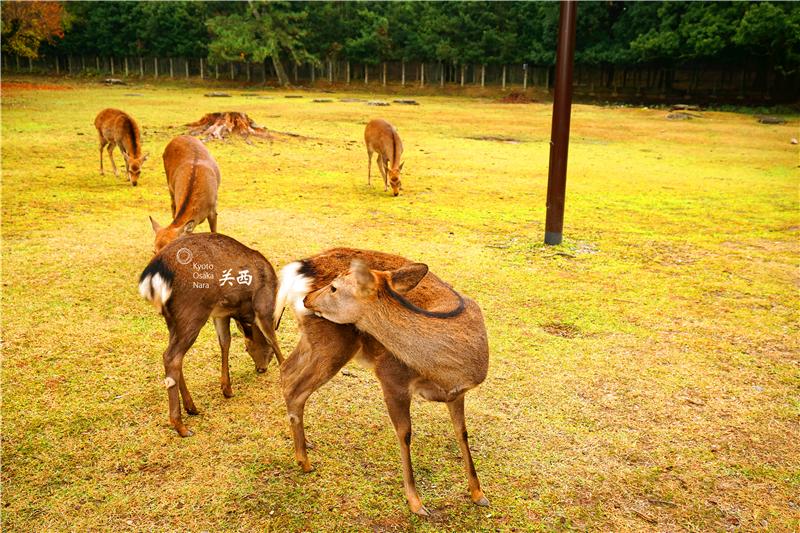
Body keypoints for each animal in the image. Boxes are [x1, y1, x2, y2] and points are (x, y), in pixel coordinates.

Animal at [139, 233, 282, 436]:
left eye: (247, 348)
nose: (261, 369)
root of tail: (154, 274)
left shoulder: (220, 313)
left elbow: (225, 342)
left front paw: (227, 389)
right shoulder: (263, 306)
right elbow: (272, 338)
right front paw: (285, 369)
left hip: (172, 319)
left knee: (170, 355)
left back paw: (191, 407)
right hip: (193, 310)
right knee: (172, 356)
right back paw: (181, 427)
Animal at [274, 248, 488, 516]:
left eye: (334, 287)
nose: (308, 299)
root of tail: (298, 269)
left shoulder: (457, 393)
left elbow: (462, 432)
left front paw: (478, 494)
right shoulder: (391, 375)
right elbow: (405, 433)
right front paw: (416, 503)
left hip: (313, 338)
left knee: (286, 371)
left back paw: (306, 445)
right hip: (333, 343)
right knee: (296, 389)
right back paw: (304, 461)